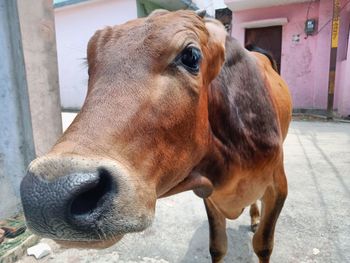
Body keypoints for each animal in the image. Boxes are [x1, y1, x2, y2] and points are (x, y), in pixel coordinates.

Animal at [19, 9, 292, 263]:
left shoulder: (278, 186)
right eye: (90, 65)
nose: (46, 200)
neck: (233, 154)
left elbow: (263, 245)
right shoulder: (211, 197)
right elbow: (217, 246)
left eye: (191, 56)